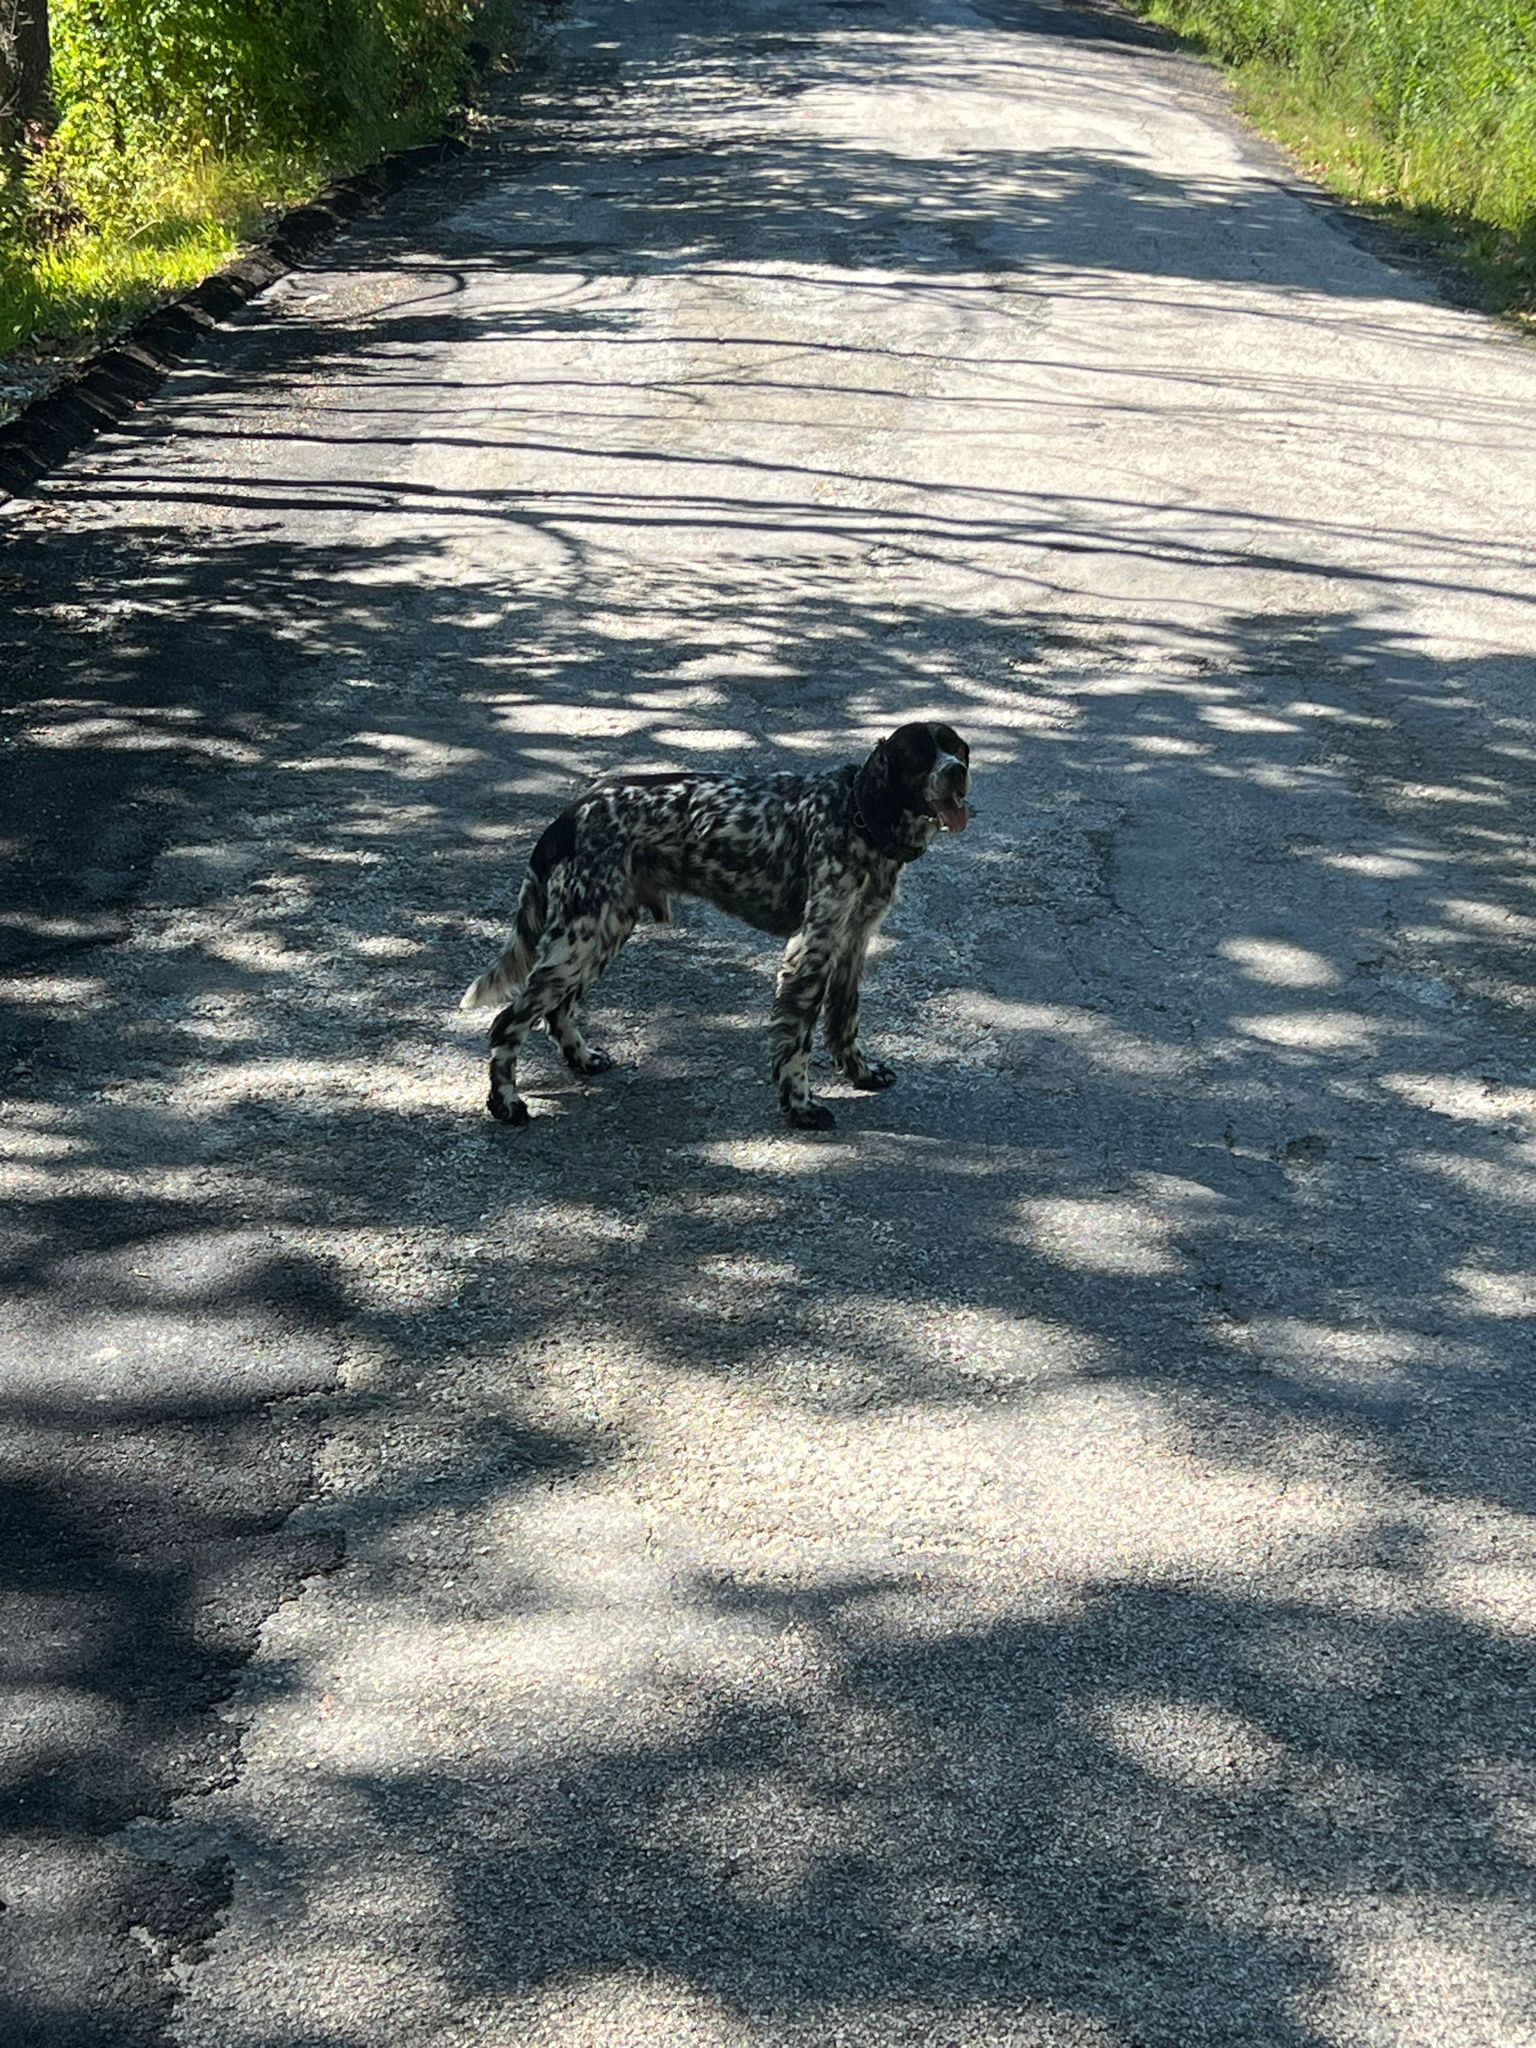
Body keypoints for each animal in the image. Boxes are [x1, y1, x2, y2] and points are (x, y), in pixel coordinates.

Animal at [460, 724, 974, 1138]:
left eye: (956, 748)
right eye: (918, 755)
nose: (957, 772)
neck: (857, 814)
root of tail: (570, 815)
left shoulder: (853, 941)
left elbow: (844, 1025)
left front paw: (861, 1074)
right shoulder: (810, 949)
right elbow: (797, 1043)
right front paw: (802, 1106)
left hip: (601, 932)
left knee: (558, 1010)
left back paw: (583, 1059)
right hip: (581, 938)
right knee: (509, 1022)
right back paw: (506, 1104)